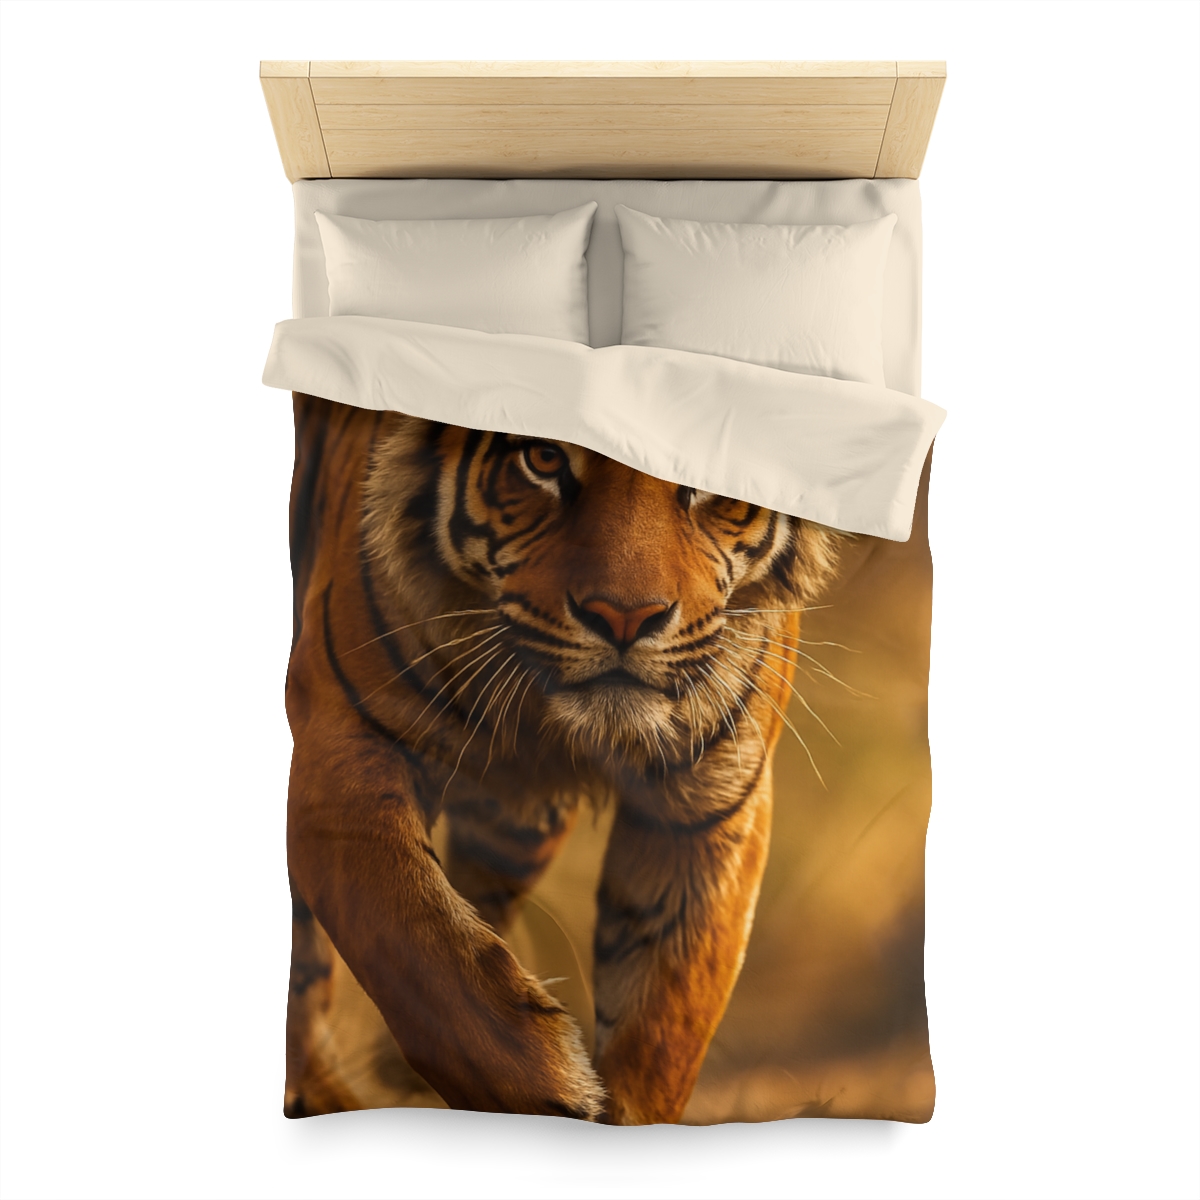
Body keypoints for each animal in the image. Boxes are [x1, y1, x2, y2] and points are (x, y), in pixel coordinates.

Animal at [283, 392, 841, 1125]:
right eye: (543, 457)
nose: (626, 618)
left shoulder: (707, 807)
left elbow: (663, 1020)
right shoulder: (343, 744)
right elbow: (419, 950)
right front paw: (557, 1088)